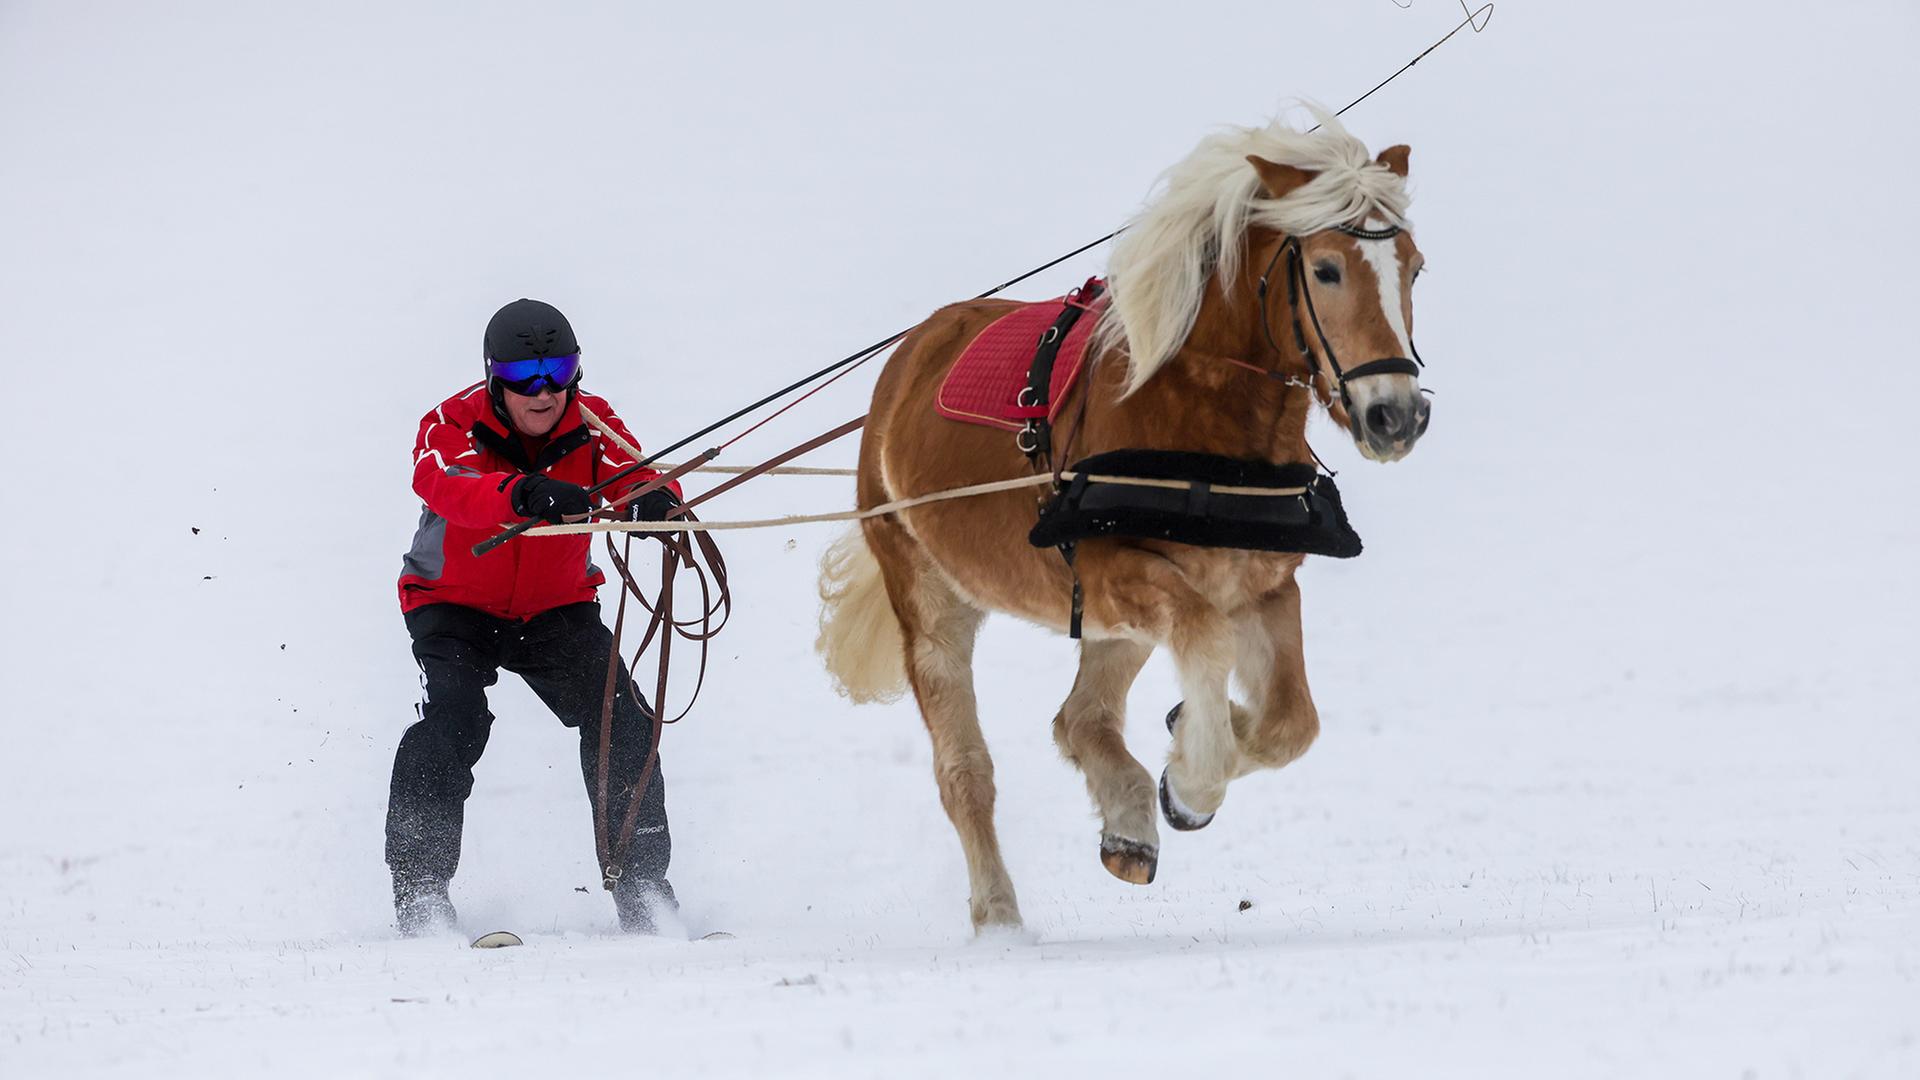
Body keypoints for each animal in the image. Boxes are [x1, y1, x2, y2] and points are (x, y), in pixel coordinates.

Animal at [817, 108, 1432, 932]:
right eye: (1328, 269)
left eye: (1415, 267)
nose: (1398, 415)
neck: (1204, 424)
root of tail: (911, 355)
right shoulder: (1124, 572)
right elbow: (1209, 649)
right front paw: (1195, 775)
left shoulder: (1263, 585)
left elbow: (1292, 723)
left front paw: (1190, 759)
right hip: (936, 602)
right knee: (965, 772)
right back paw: (1000, 917)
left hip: (1117, 622)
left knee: (1080, 718)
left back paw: (1131, 825)